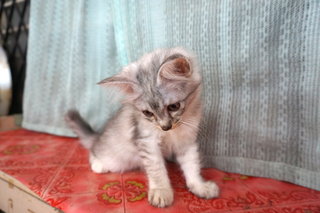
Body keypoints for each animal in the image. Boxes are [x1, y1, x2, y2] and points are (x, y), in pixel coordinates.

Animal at [65, 47, 220, 207]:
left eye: (174, 106)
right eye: (148, 113)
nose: (165, 127)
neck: (172, 132)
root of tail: (99, 136)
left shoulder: (186, 141)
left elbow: (192, 165)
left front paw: (199, 186)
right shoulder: (147, 141)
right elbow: (157, 169)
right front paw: (161, 192)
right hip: (116, 157)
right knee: (94, 151)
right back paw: (98, 164)